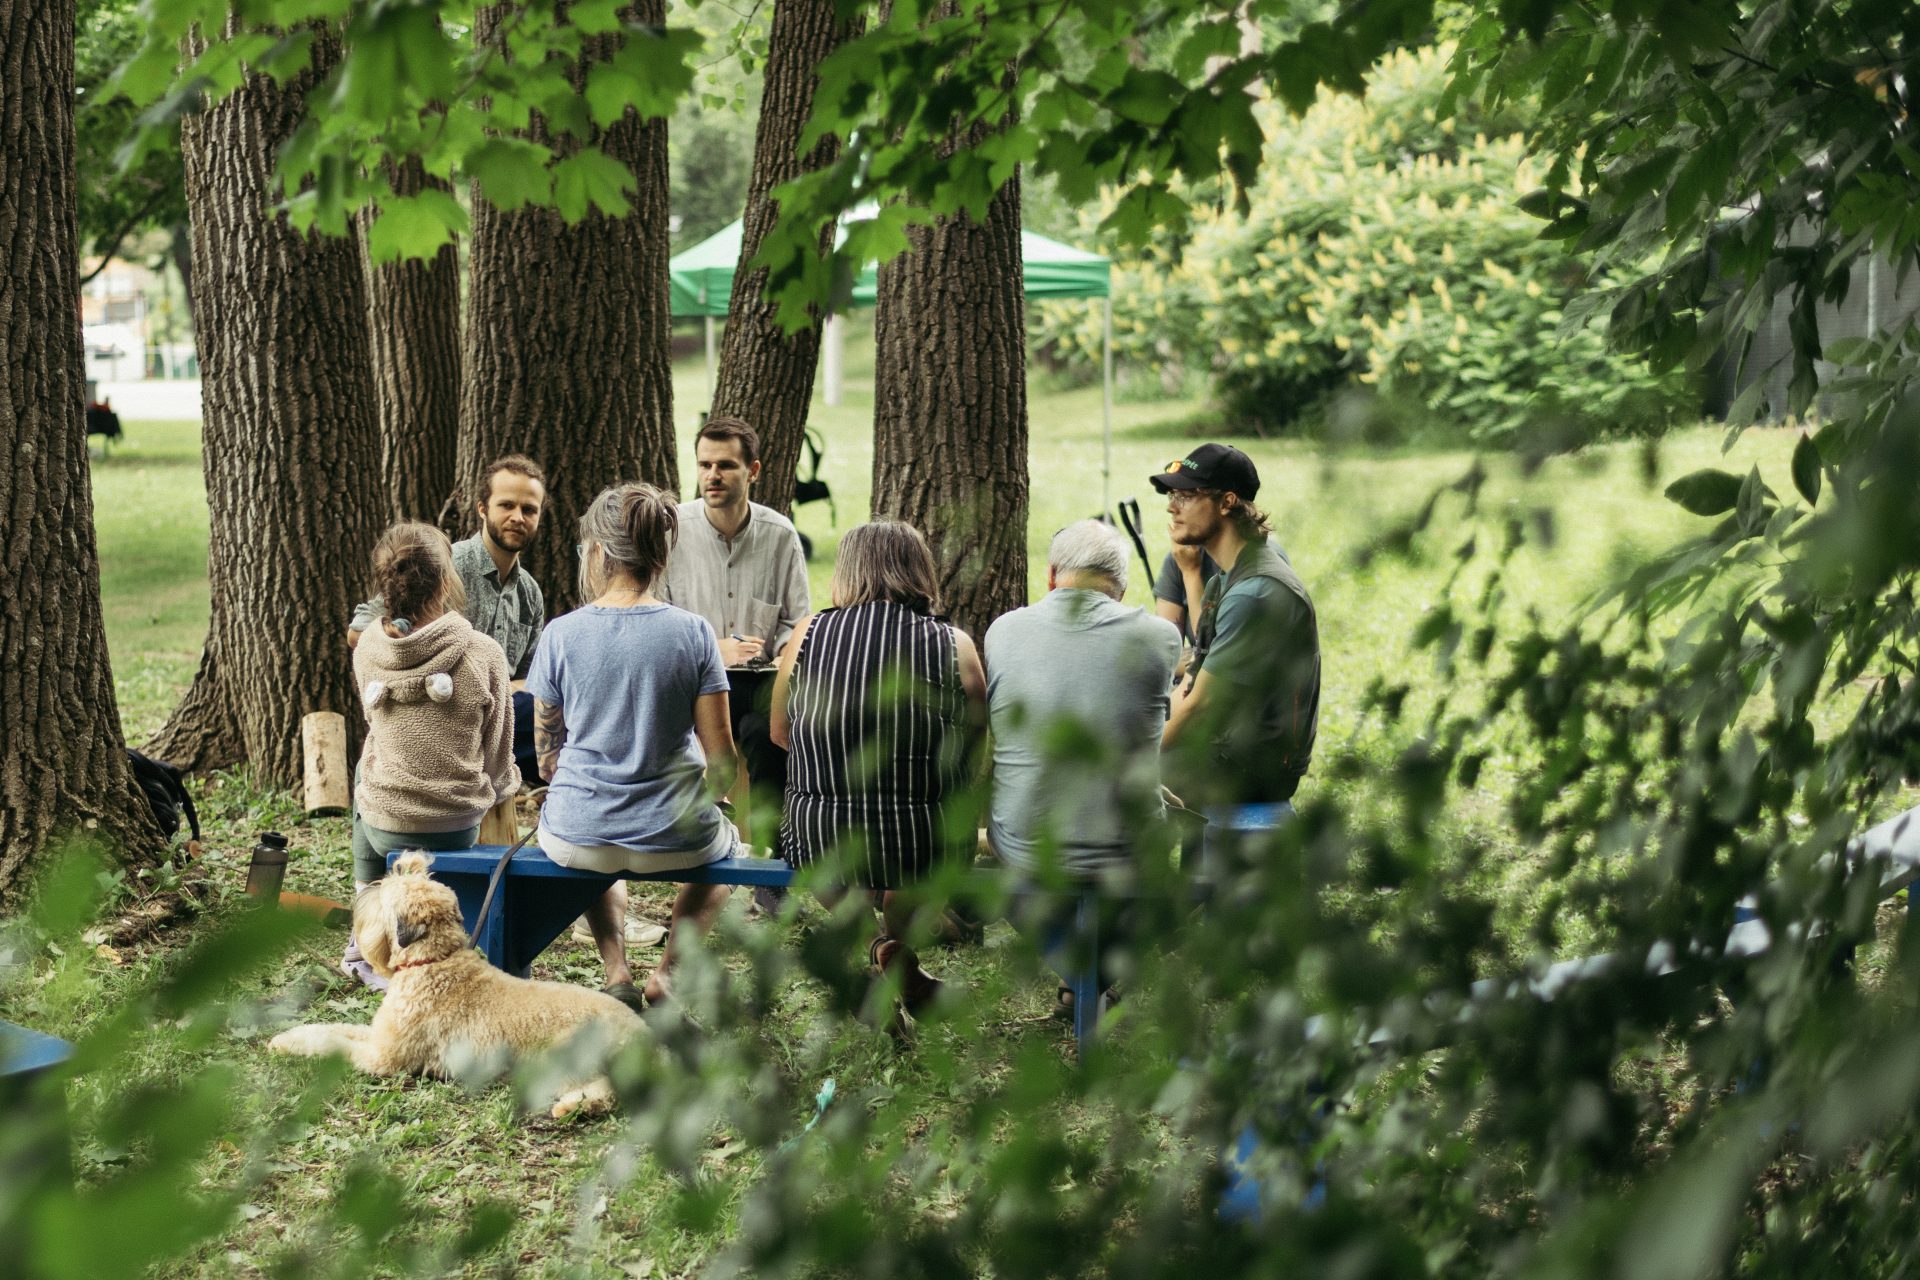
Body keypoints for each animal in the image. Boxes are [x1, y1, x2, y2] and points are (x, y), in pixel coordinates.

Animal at [266, 855, 641, 1113]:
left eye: (385, 896)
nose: (361, 897)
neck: (434, 962)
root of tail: (641, 1034)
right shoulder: (379, 1036)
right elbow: (332, 1029)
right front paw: (286, 1038)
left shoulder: (384, 1057)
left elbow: (334, 1045)